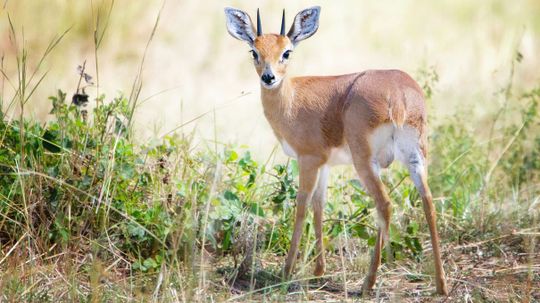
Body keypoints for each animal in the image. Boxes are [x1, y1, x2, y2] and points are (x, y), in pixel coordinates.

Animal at [224, 5, 448, 296]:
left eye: (287, 52)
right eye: (254, 51)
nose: (269, 77)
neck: (292, 99)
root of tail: (399, 94)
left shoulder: (308, 159)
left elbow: (301, 206)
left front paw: (286, 271)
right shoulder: (326, 164)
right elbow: (319, 205)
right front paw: (319, 270)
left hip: (365, 161)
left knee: (384, 204)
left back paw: (368, 283)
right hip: (415, 157)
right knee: (429, 202)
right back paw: (441, 284)